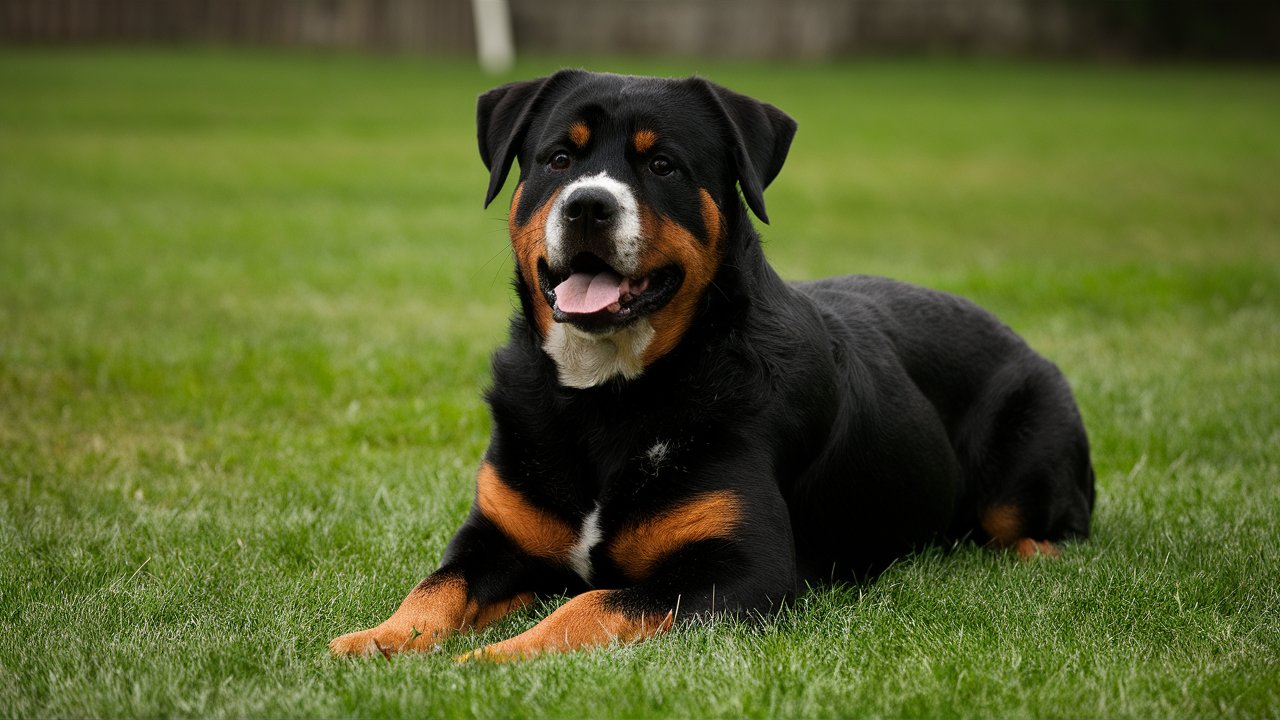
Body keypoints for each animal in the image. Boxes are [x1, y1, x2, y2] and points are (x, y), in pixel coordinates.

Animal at [325, 70, 1095, 661]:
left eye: (662, 164)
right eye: (558, 159)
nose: (588, 205)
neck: (607, 399)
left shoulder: (743, 571)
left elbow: (593, 603)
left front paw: (493, 657)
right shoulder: (496, 536)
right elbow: (437, 585)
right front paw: (376, 639)